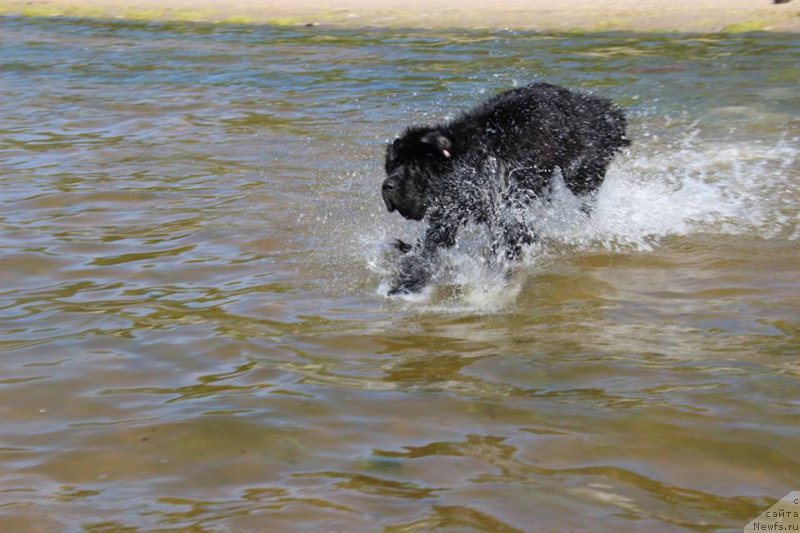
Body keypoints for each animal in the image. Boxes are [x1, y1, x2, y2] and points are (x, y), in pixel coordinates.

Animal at [382, 82, 632, 296]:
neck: (466, 162)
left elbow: (510, 241)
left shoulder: (504, 210)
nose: (387, 186)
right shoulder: (449, 215)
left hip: (581, 171)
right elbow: (428, 250)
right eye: (392, 166)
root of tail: (584, 101)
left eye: (414, 167)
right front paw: (406, 284)